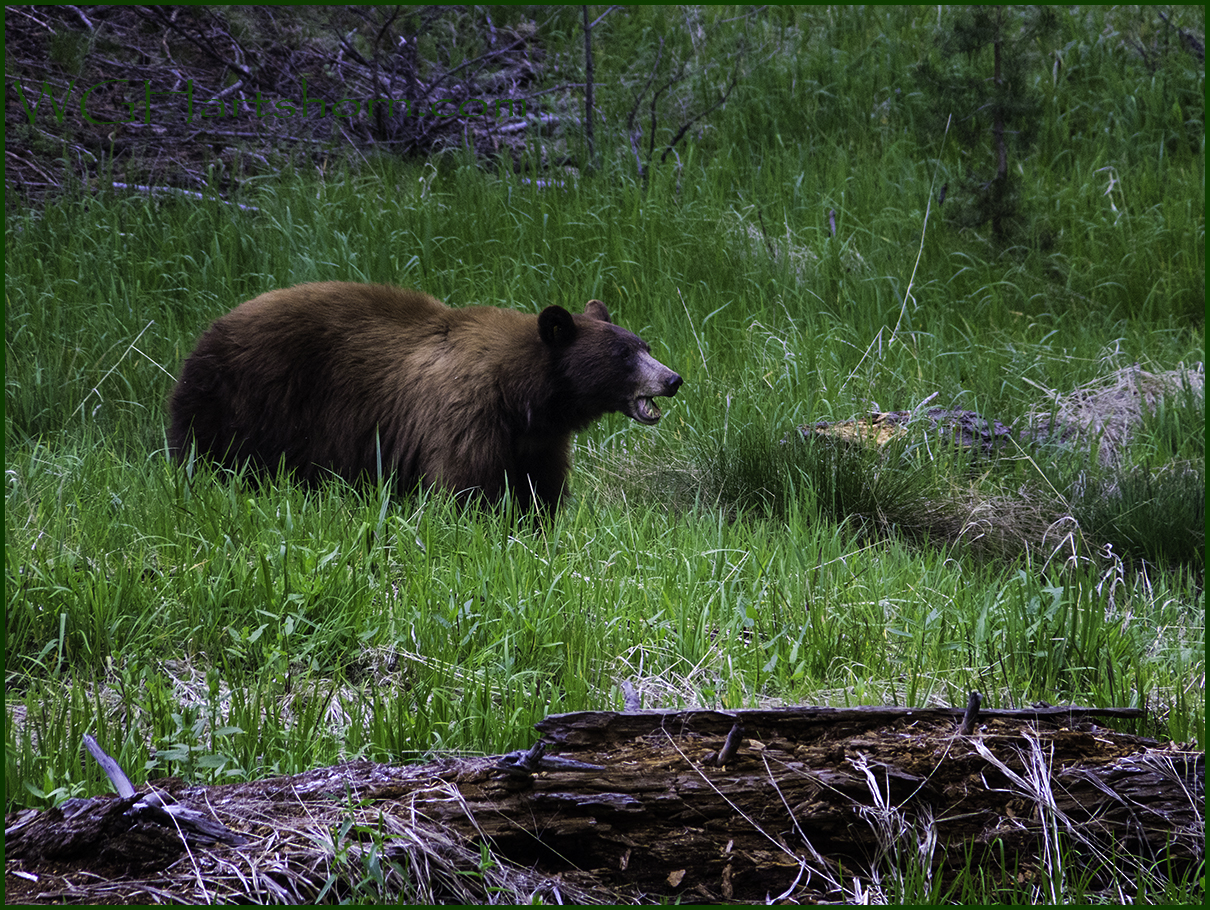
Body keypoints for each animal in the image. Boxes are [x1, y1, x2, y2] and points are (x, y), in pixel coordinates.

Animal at [166, 283, 687, 513]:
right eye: (624, 355)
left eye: (643, 345)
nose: (673, 378)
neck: (523, 393)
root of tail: (208, 332)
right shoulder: (464, 417)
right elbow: (465, 487)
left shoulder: (536, 438)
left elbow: (539, 487)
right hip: (245, 398)